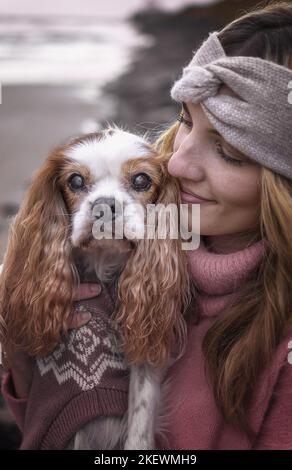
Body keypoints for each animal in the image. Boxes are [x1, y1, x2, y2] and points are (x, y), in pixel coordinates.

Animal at [0, 126, 193, 450]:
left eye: (141, 180)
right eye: (76, 181)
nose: (104, 205)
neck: (101, 263)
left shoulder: (144, 354)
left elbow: (139, 421)